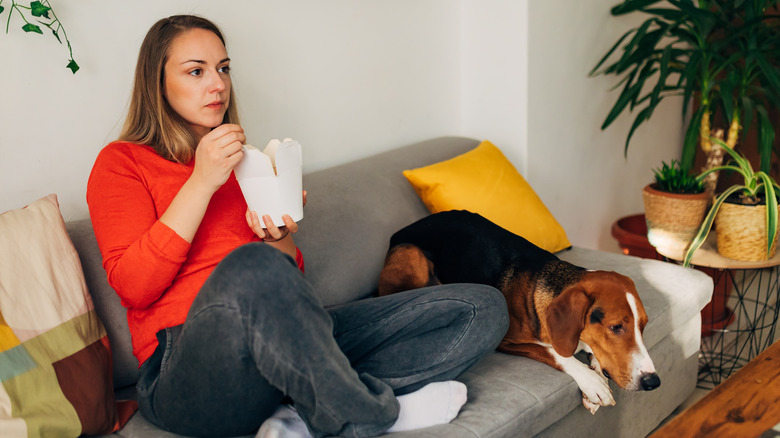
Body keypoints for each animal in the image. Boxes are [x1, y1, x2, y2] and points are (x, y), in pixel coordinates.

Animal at [378, 210, 660, 412]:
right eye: (616, 327)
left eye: (643, 326)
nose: (653, 382)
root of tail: (398, 232)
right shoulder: (507, 340)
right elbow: (556, 353)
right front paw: (592, 382)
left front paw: (596, 369)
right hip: (412, 255)